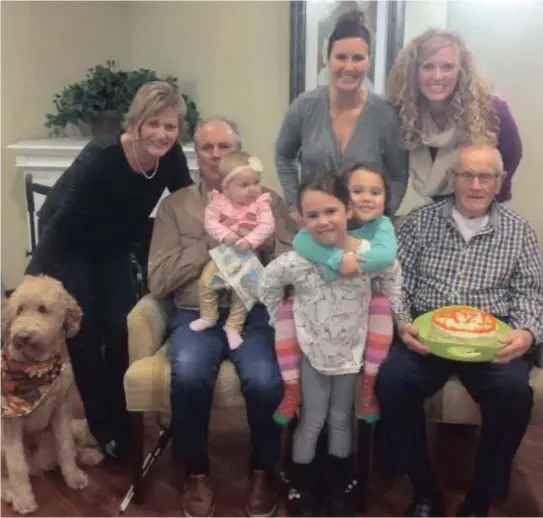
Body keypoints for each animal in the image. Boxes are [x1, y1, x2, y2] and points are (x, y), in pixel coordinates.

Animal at [1, 276, 104, 516]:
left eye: (42, 308)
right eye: (20, 309)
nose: (21, 336)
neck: (39, 368)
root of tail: (38, 465)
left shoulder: (62, 409)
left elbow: (66, 447)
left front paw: (73, 477)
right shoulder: (10, 423)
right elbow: (16, 465)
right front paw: (23, 499)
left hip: (78, 424)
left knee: (73, 447)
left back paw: (88, 455)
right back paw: (9, 492)